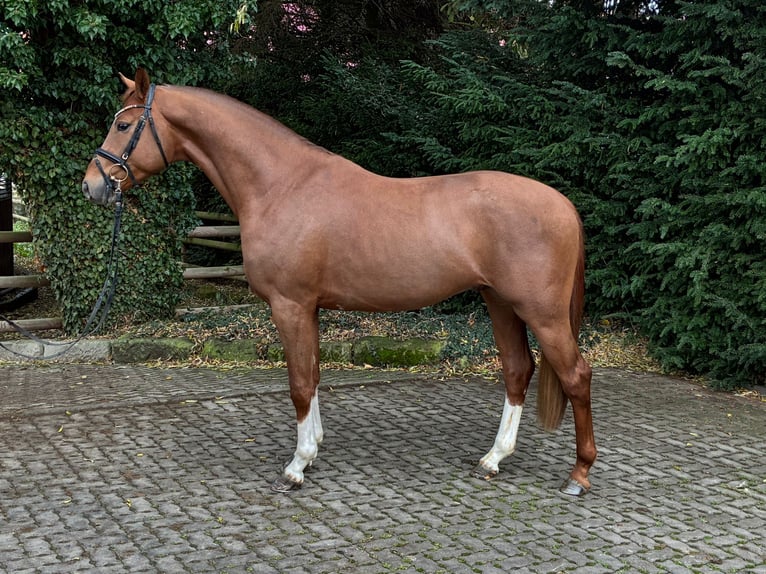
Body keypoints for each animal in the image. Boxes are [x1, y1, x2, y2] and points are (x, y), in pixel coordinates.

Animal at [82, 69, 596, 496]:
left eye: (124, 126)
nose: (92, 185)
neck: (281, 186)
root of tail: (562, 204)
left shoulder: (289, 305)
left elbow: (298, 383)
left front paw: (296, 466)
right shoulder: (306, 308)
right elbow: (312, 375)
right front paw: (312, 450)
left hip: (542, 313)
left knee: (576, 375)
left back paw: (579, 474)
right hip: (500, 303)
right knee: (518, 370)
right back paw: (494, 459)